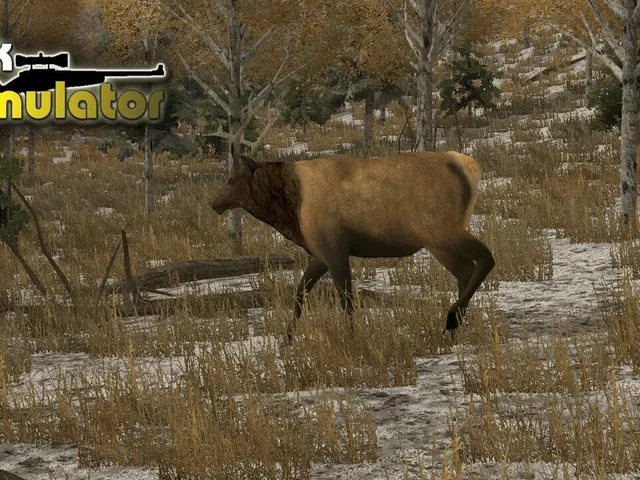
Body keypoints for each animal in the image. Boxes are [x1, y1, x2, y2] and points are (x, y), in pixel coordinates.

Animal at [210, 151, 495, 340]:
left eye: (231, 179)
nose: (214, 203)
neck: (291, 208)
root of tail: (470, 167)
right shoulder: (321, 253)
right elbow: (300, 291)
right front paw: (287, 340)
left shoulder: (334, 248)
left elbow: (345, 298)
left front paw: (351, 337)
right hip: (440, 241)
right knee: (466, 271)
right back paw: (458, 322)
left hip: (439, 231)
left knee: (486, 258)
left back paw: (453, 317)